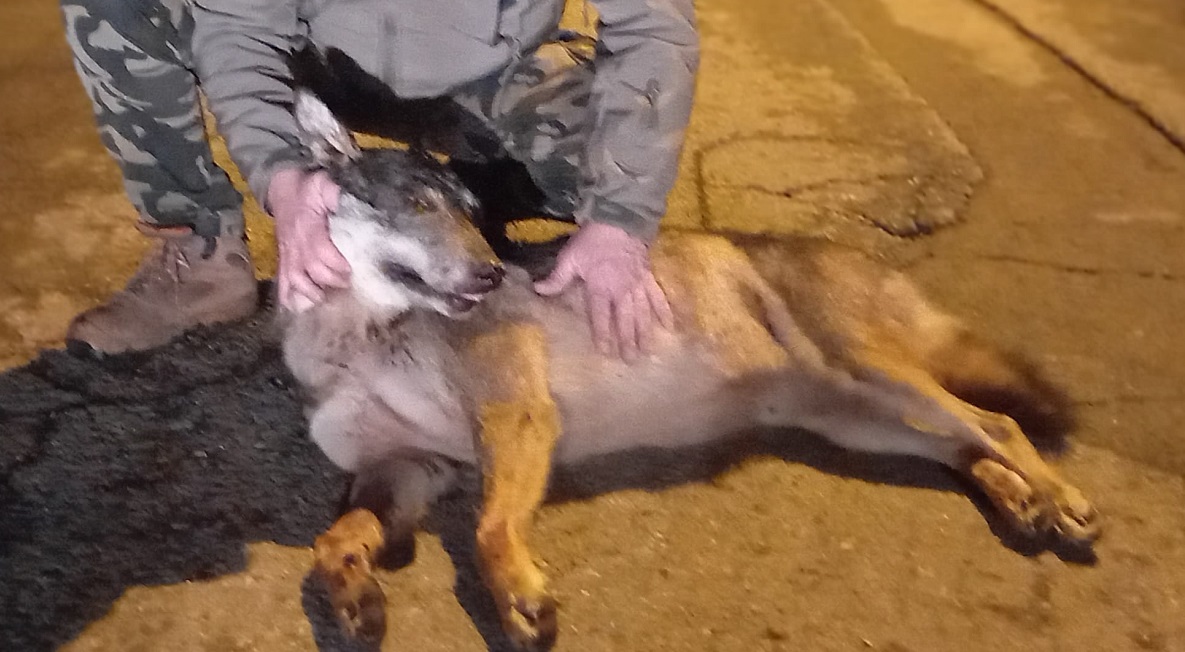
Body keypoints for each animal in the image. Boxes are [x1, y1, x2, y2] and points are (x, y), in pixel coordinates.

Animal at [279, 90, 1099, 650]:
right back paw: (1017, 499)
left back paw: (1058, 499)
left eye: (474, 218)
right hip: (857, 419)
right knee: (961, 445)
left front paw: (516, 593)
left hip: (871, 373)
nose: (491, 275)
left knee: (997, 423)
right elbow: (331, 541)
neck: (364, 335)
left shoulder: (514, 419)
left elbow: (488, 530)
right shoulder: (406, 471)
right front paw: (353, 595)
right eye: (418, 205)